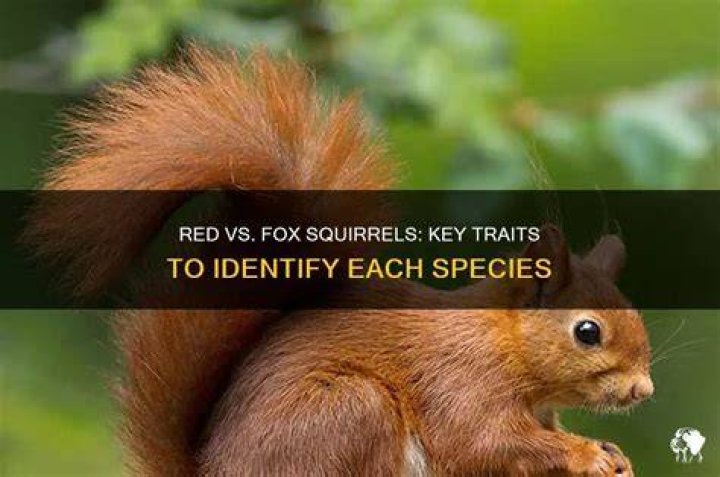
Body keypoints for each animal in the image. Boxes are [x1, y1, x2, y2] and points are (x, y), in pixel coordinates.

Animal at [30, 46, 653, 476]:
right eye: (588, 331)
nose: (643, 391)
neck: (502, 341)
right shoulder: (461, 382)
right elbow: (484, 442)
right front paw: (587, 453)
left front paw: (613, 455)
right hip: (353, 412)